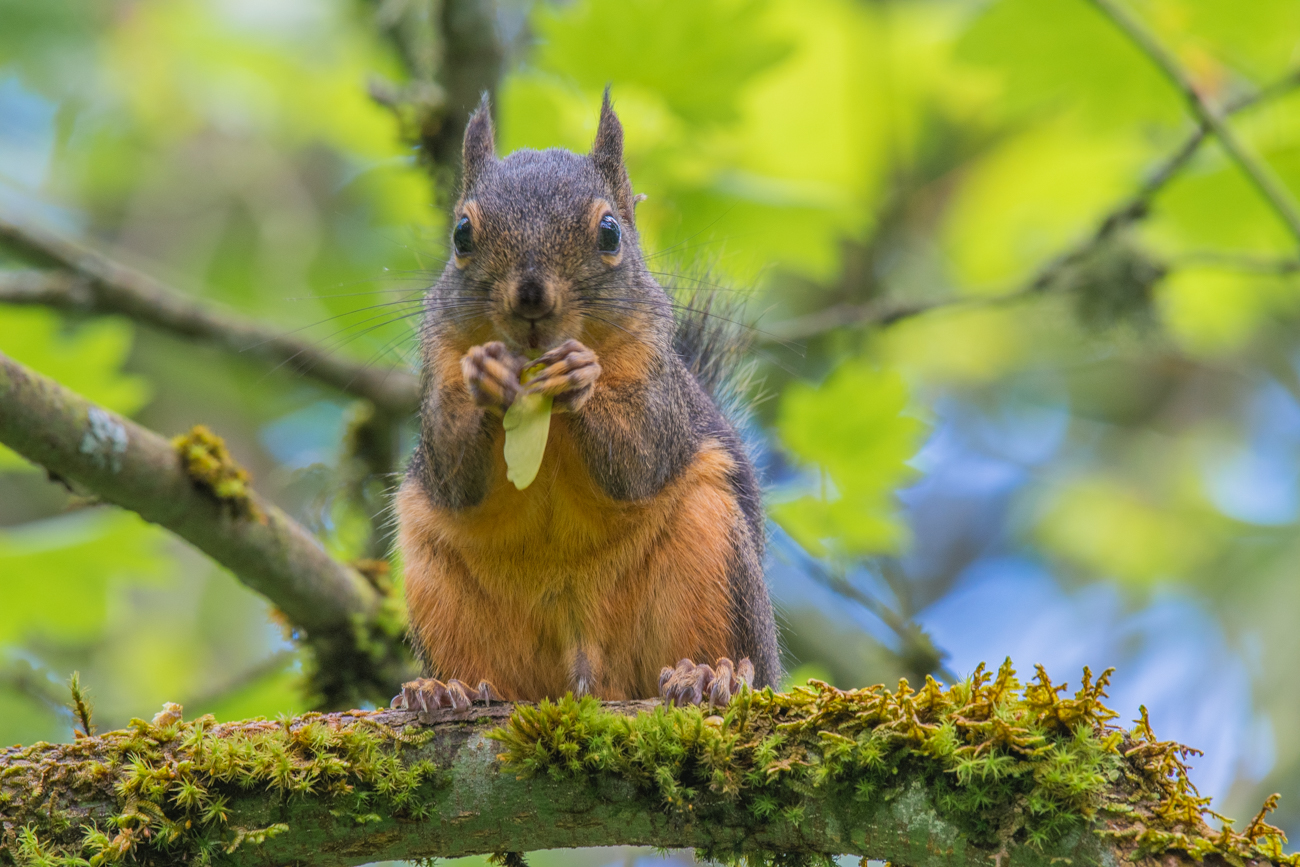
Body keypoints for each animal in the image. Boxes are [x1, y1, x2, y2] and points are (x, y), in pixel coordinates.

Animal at [379, 89, 774, 712]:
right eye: (461, 234)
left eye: (610, 233)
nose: (531, 297)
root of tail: (587, 674)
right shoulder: (437, 364)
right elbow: (453, 475)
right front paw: (485, 377)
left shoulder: (663, 393)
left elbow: (640, 458)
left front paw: (580, 377)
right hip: (436, 579)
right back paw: (447, 687)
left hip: (715, 553)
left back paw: (712, 674)